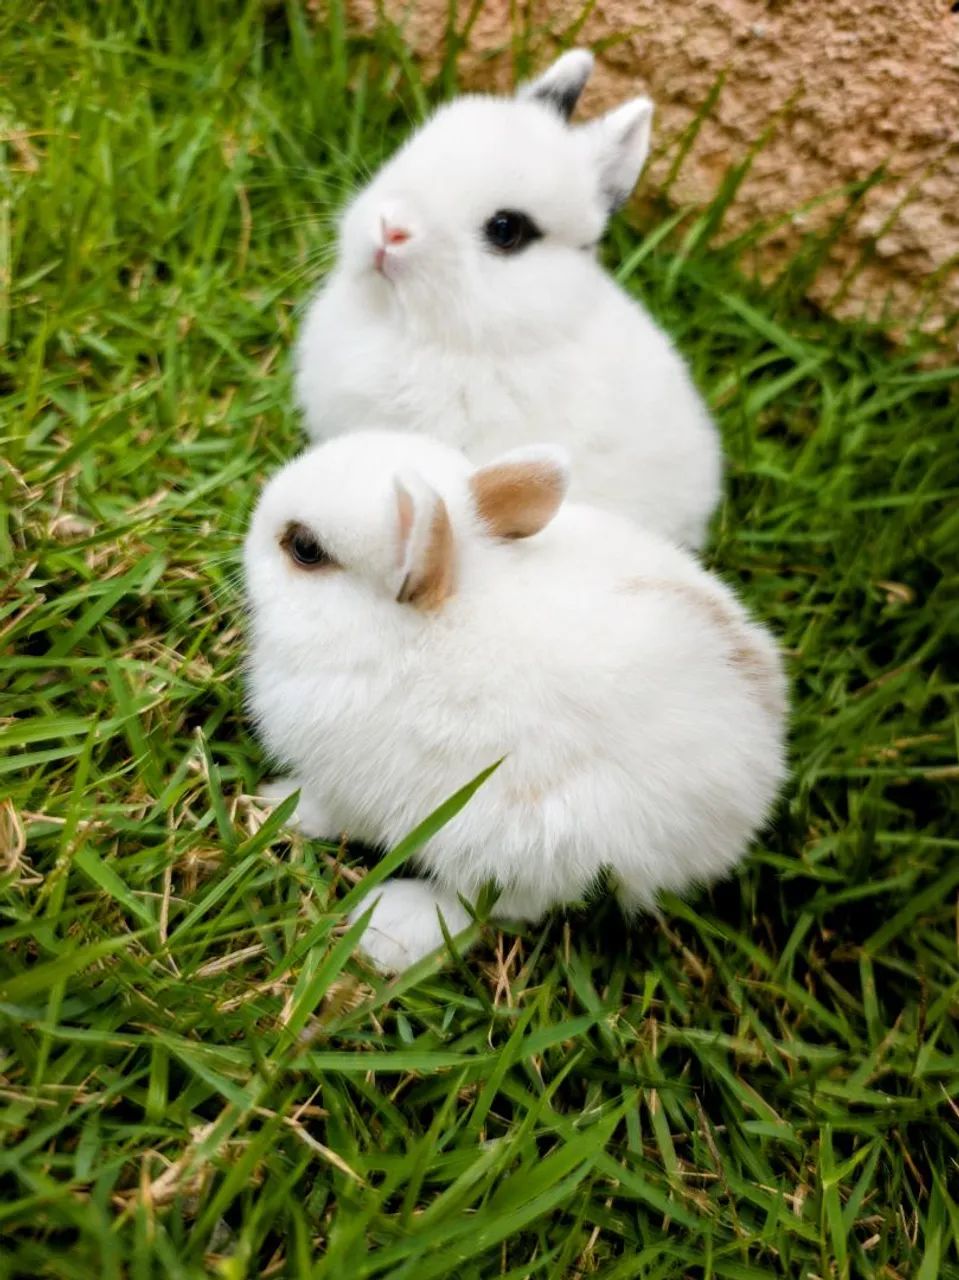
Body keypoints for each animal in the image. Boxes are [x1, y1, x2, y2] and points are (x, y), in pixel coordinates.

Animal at [244, 429, 787, 974]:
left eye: (305, 548)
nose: (248, 532)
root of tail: (751, 799)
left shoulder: (356, 785)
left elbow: (333, 812)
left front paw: (276, 808)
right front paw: (271, 803)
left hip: (520, 846)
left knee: (488, 906)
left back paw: (388, 932)